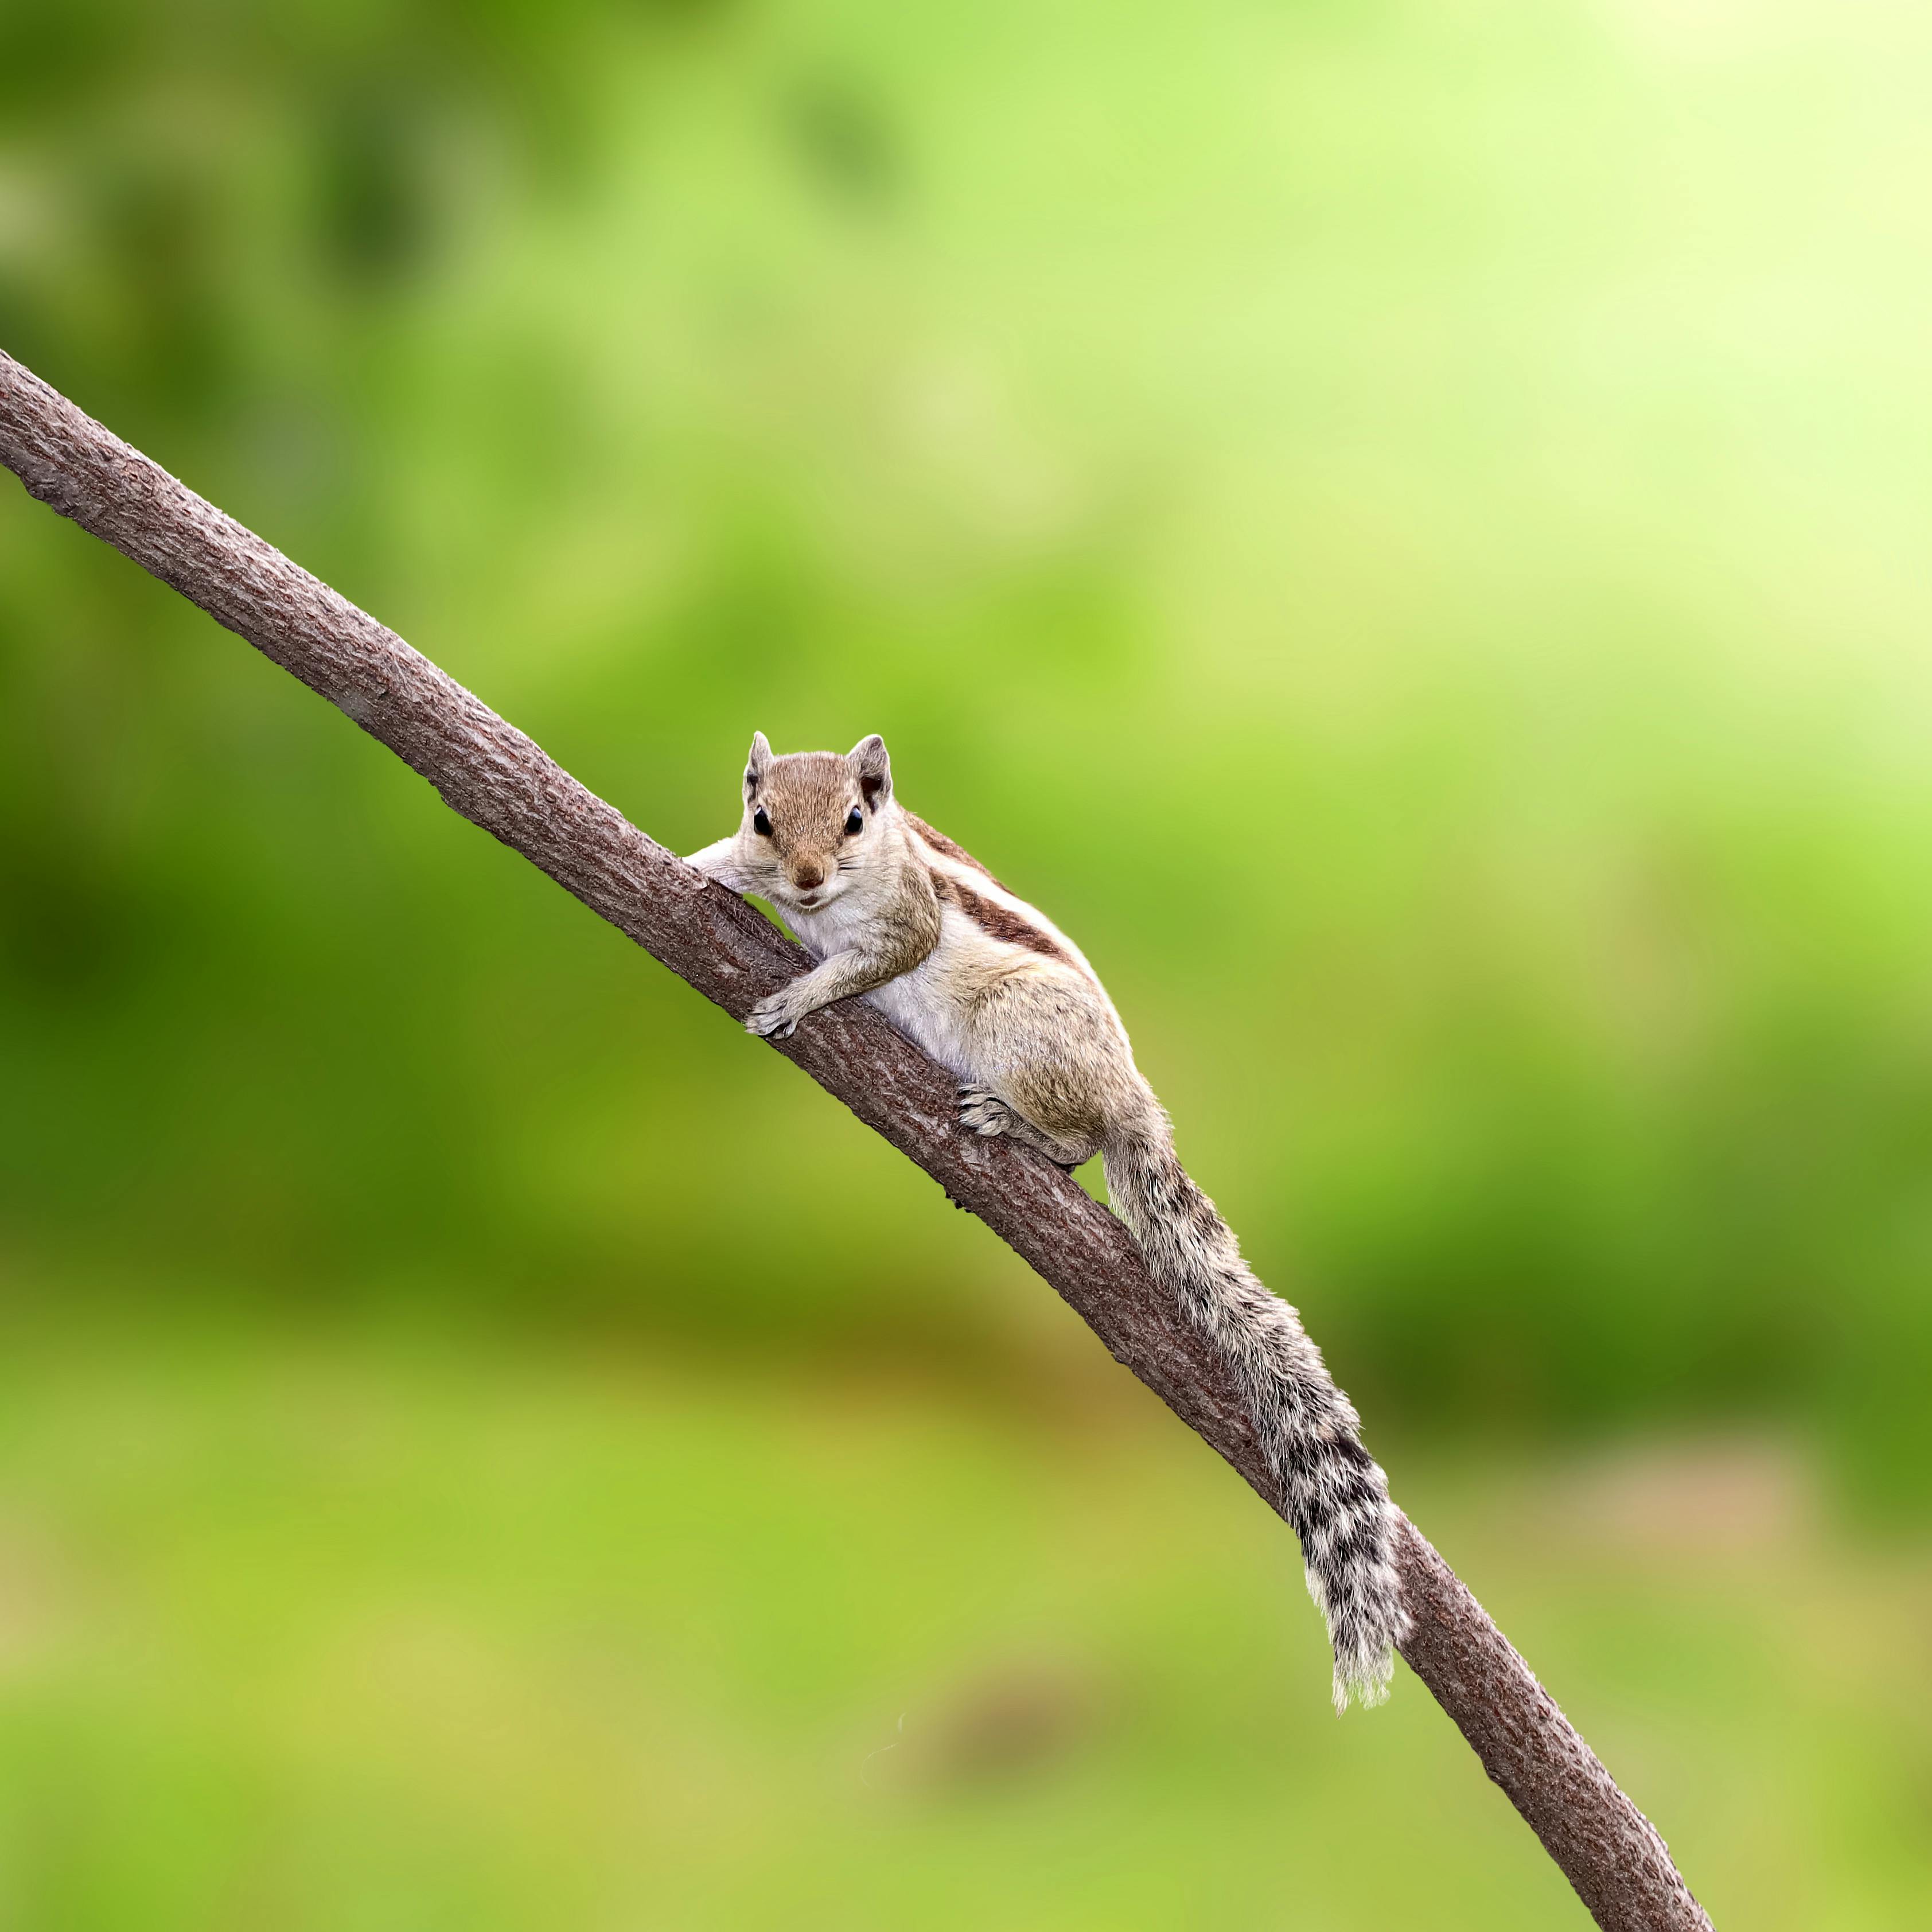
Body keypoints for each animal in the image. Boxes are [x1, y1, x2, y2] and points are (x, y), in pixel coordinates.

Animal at [687, 732, 1409, 1709]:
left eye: (854, 819)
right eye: (762, 819)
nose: (801, 878)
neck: (835, 895)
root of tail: (1133, 1098)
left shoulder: (907, 923)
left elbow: (868, 962)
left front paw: (798, 999)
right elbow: (720, 865)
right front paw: (694, 868)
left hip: (1020, 1032)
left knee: (1076, 1141)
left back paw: (1010, 1121)